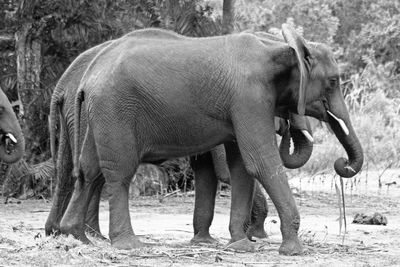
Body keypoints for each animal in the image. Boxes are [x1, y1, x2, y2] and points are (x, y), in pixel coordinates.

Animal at [65, 24, 362, 255]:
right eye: (333, 82)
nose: (342, 163)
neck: (277, 47)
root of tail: (87, 78)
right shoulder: (249, 98)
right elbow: (262, 162)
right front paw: (292, 251)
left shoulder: (243, 104)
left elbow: (242, 167)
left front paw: (242, 246)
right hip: (115, 110)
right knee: (119, 172)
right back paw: (128, 245)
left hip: (100, 114)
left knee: (88, 171)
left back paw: (75, 237)